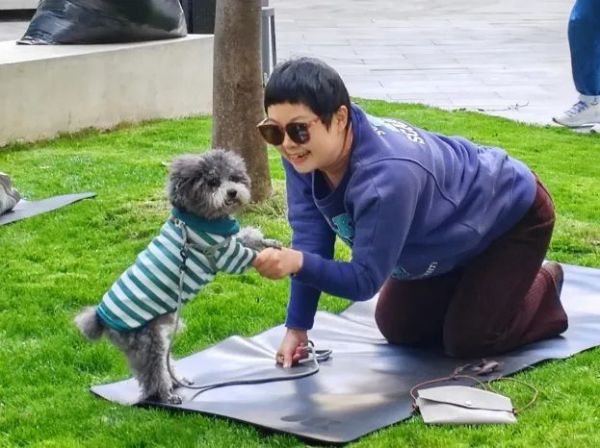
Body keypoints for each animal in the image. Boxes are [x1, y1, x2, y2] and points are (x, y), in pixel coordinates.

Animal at [75, 149, 281, 404]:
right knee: (152, 372)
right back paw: (166, 394)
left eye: (234, 177)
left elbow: (248, 237)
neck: (200, 219)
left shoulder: (228, 240)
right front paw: (271, 258)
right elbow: (246, 255)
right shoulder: (221, 254)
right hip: (145, 340)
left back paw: (176, 381)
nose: (232, 192)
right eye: (213, 182)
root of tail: (100, 318)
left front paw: (269, 242)